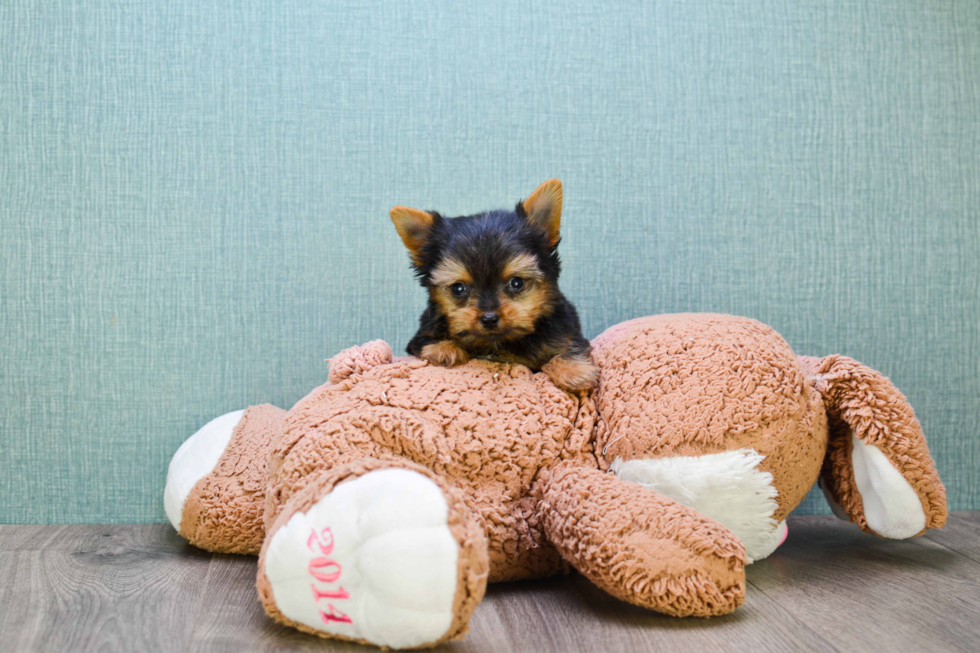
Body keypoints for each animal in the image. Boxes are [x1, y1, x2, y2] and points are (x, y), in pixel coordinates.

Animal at [390, 180, 596, 392]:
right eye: (458, 288)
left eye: (517, 283)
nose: (489, 318)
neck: (497, 343)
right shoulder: (420, 338)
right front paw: (444, 349)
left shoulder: (566, 331)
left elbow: (566, 348)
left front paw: (572, 370)